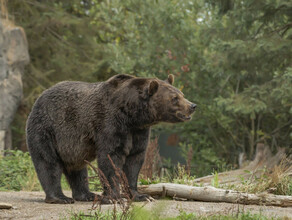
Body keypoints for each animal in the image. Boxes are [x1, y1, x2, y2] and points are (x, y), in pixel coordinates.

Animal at [25, 75, 196, 204]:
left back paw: (87, 195)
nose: (192, 106)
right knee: (48, 163)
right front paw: (114, 197)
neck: (132, 115)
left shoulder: (138, 132)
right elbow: (111, 158)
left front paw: (140, 195)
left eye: (181, 94)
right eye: (174, 98)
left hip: (72, 147)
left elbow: (134, 160)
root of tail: (38, 99)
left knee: (78, 169)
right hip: (47, 129)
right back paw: (60, 198)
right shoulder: (111, 124)